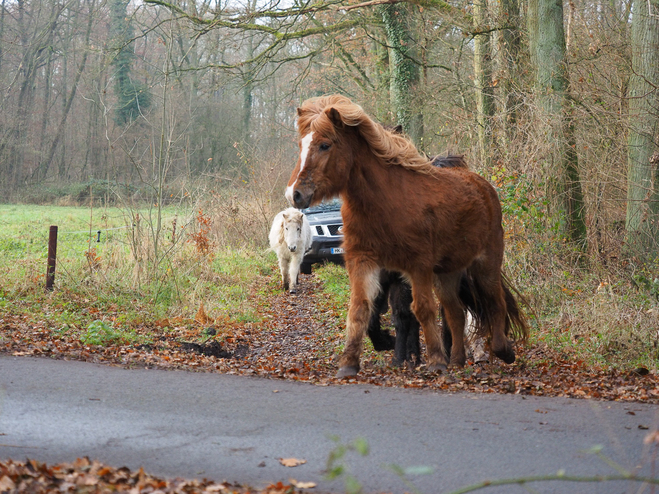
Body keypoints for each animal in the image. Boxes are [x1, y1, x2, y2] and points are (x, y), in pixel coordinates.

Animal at [286, 94, 528, 376]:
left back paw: (502, 350)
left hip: (485, 262)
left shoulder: (416, 265)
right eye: (300, 145)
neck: (384, 203)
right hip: (447, 273)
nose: (295, 194)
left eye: (325, 145)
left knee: (494, 301)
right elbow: (360, 309)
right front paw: (349, 363)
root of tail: (482, 185)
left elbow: (421, 310)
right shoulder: (363, 261)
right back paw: (457, 360)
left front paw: (435, 361)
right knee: (455, 313)